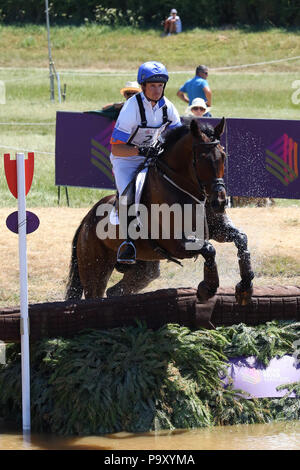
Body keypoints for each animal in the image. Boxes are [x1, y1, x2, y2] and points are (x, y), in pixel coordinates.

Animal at [65, 118, 253, 304]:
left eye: (223, 156)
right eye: (201, 159)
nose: (219, 202)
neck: (187, 188)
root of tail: (86, 221)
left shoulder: (217, 230)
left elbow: (241, 239)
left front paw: (245, 287)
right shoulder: (175, 244)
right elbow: (209, 249)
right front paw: (207, 288)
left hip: (144, 269)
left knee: (115, 291)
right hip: (95, 267)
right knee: (94, 294)